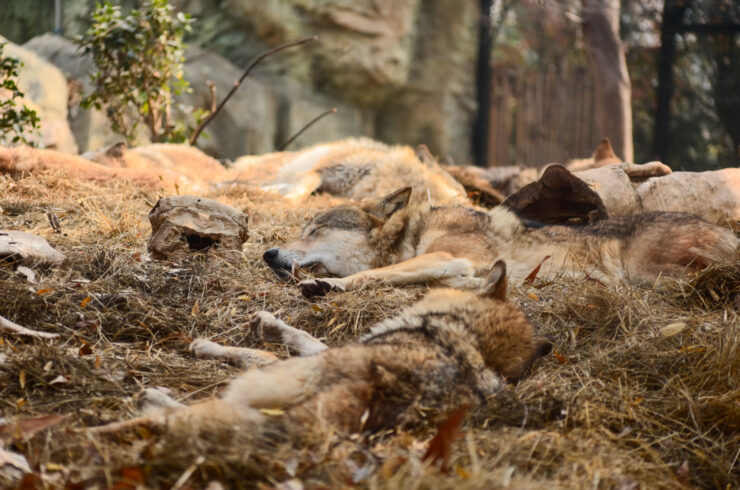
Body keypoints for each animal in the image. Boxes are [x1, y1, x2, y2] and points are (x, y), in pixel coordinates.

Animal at [90, 262, 550, 436]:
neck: (471, 338)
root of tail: (364, 393)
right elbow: (302, 336)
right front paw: (270, 323)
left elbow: (268, 348)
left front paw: (212, 343)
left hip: (268, 383)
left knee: (196, 411)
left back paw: (152, 397)